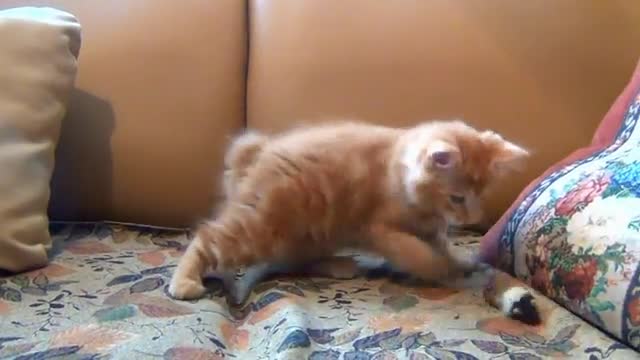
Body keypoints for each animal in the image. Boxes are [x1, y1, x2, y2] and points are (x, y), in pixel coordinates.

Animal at [168, 120, 528, 300]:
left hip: (306, 230)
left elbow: (444, 248)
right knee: (207, 238)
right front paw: (443, 270)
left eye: (480, 195)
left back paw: (336, 264)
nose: (473, 218)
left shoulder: (432, 229)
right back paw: (184, 282)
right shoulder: (379, 229)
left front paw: (460, 261)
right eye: (457, 198)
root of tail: (258, 153)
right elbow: (421, 255)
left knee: (293, 259)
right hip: (263, 224)